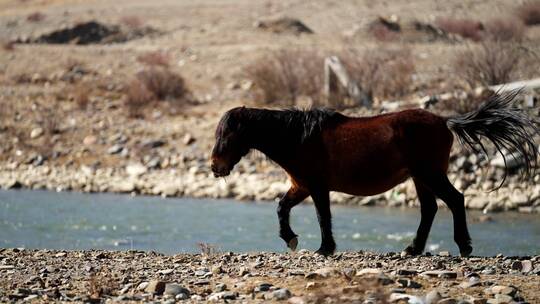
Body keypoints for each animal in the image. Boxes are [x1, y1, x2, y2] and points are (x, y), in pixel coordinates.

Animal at [209, 90, 536, 256]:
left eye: (226, 135)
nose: (215, 166)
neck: (299, 138)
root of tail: (445, 121)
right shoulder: (301, 185)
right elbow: (281, 208)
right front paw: (290, 239)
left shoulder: (317, 187)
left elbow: (323, 217)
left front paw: (324, 249)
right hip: (420, 178)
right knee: (430, 209)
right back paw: (413, 249)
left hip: (430, 174)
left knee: (455, 200)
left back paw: (463, 246)